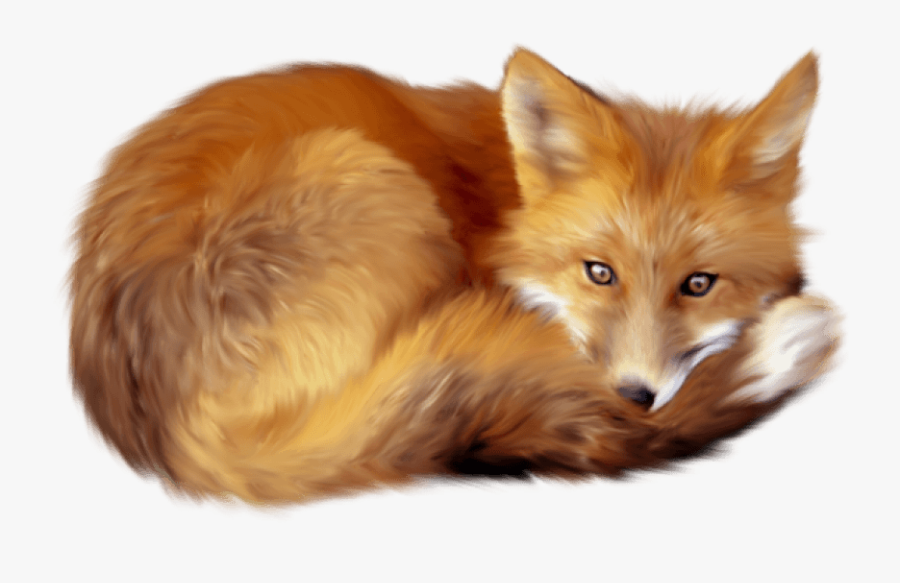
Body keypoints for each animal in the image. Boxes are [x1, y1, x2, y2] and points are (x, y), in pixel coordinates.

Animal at [69, 48, 840, 504]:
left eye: (699, 284)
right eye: (599, 273)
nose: (634, 397)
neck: (505, 202)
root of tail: (172, 441)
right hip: (368, 175)